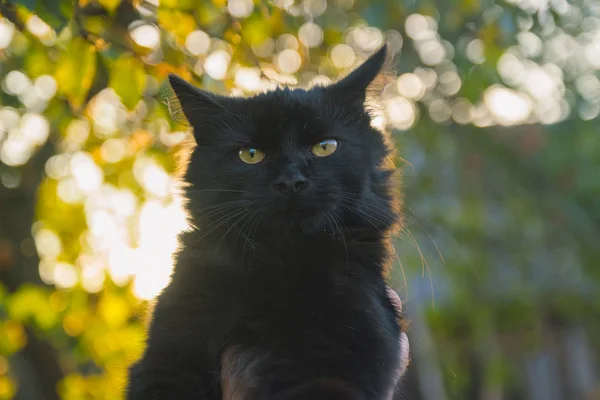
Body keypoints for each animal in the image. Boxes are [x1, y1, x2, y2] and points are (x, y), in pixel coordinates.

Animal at [128, 44, 406, 400]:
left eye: (325, 147)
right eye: (250, 154)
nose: (290, 181)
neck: (278, 264)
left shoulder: (343, 355)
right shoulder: (168, 355)